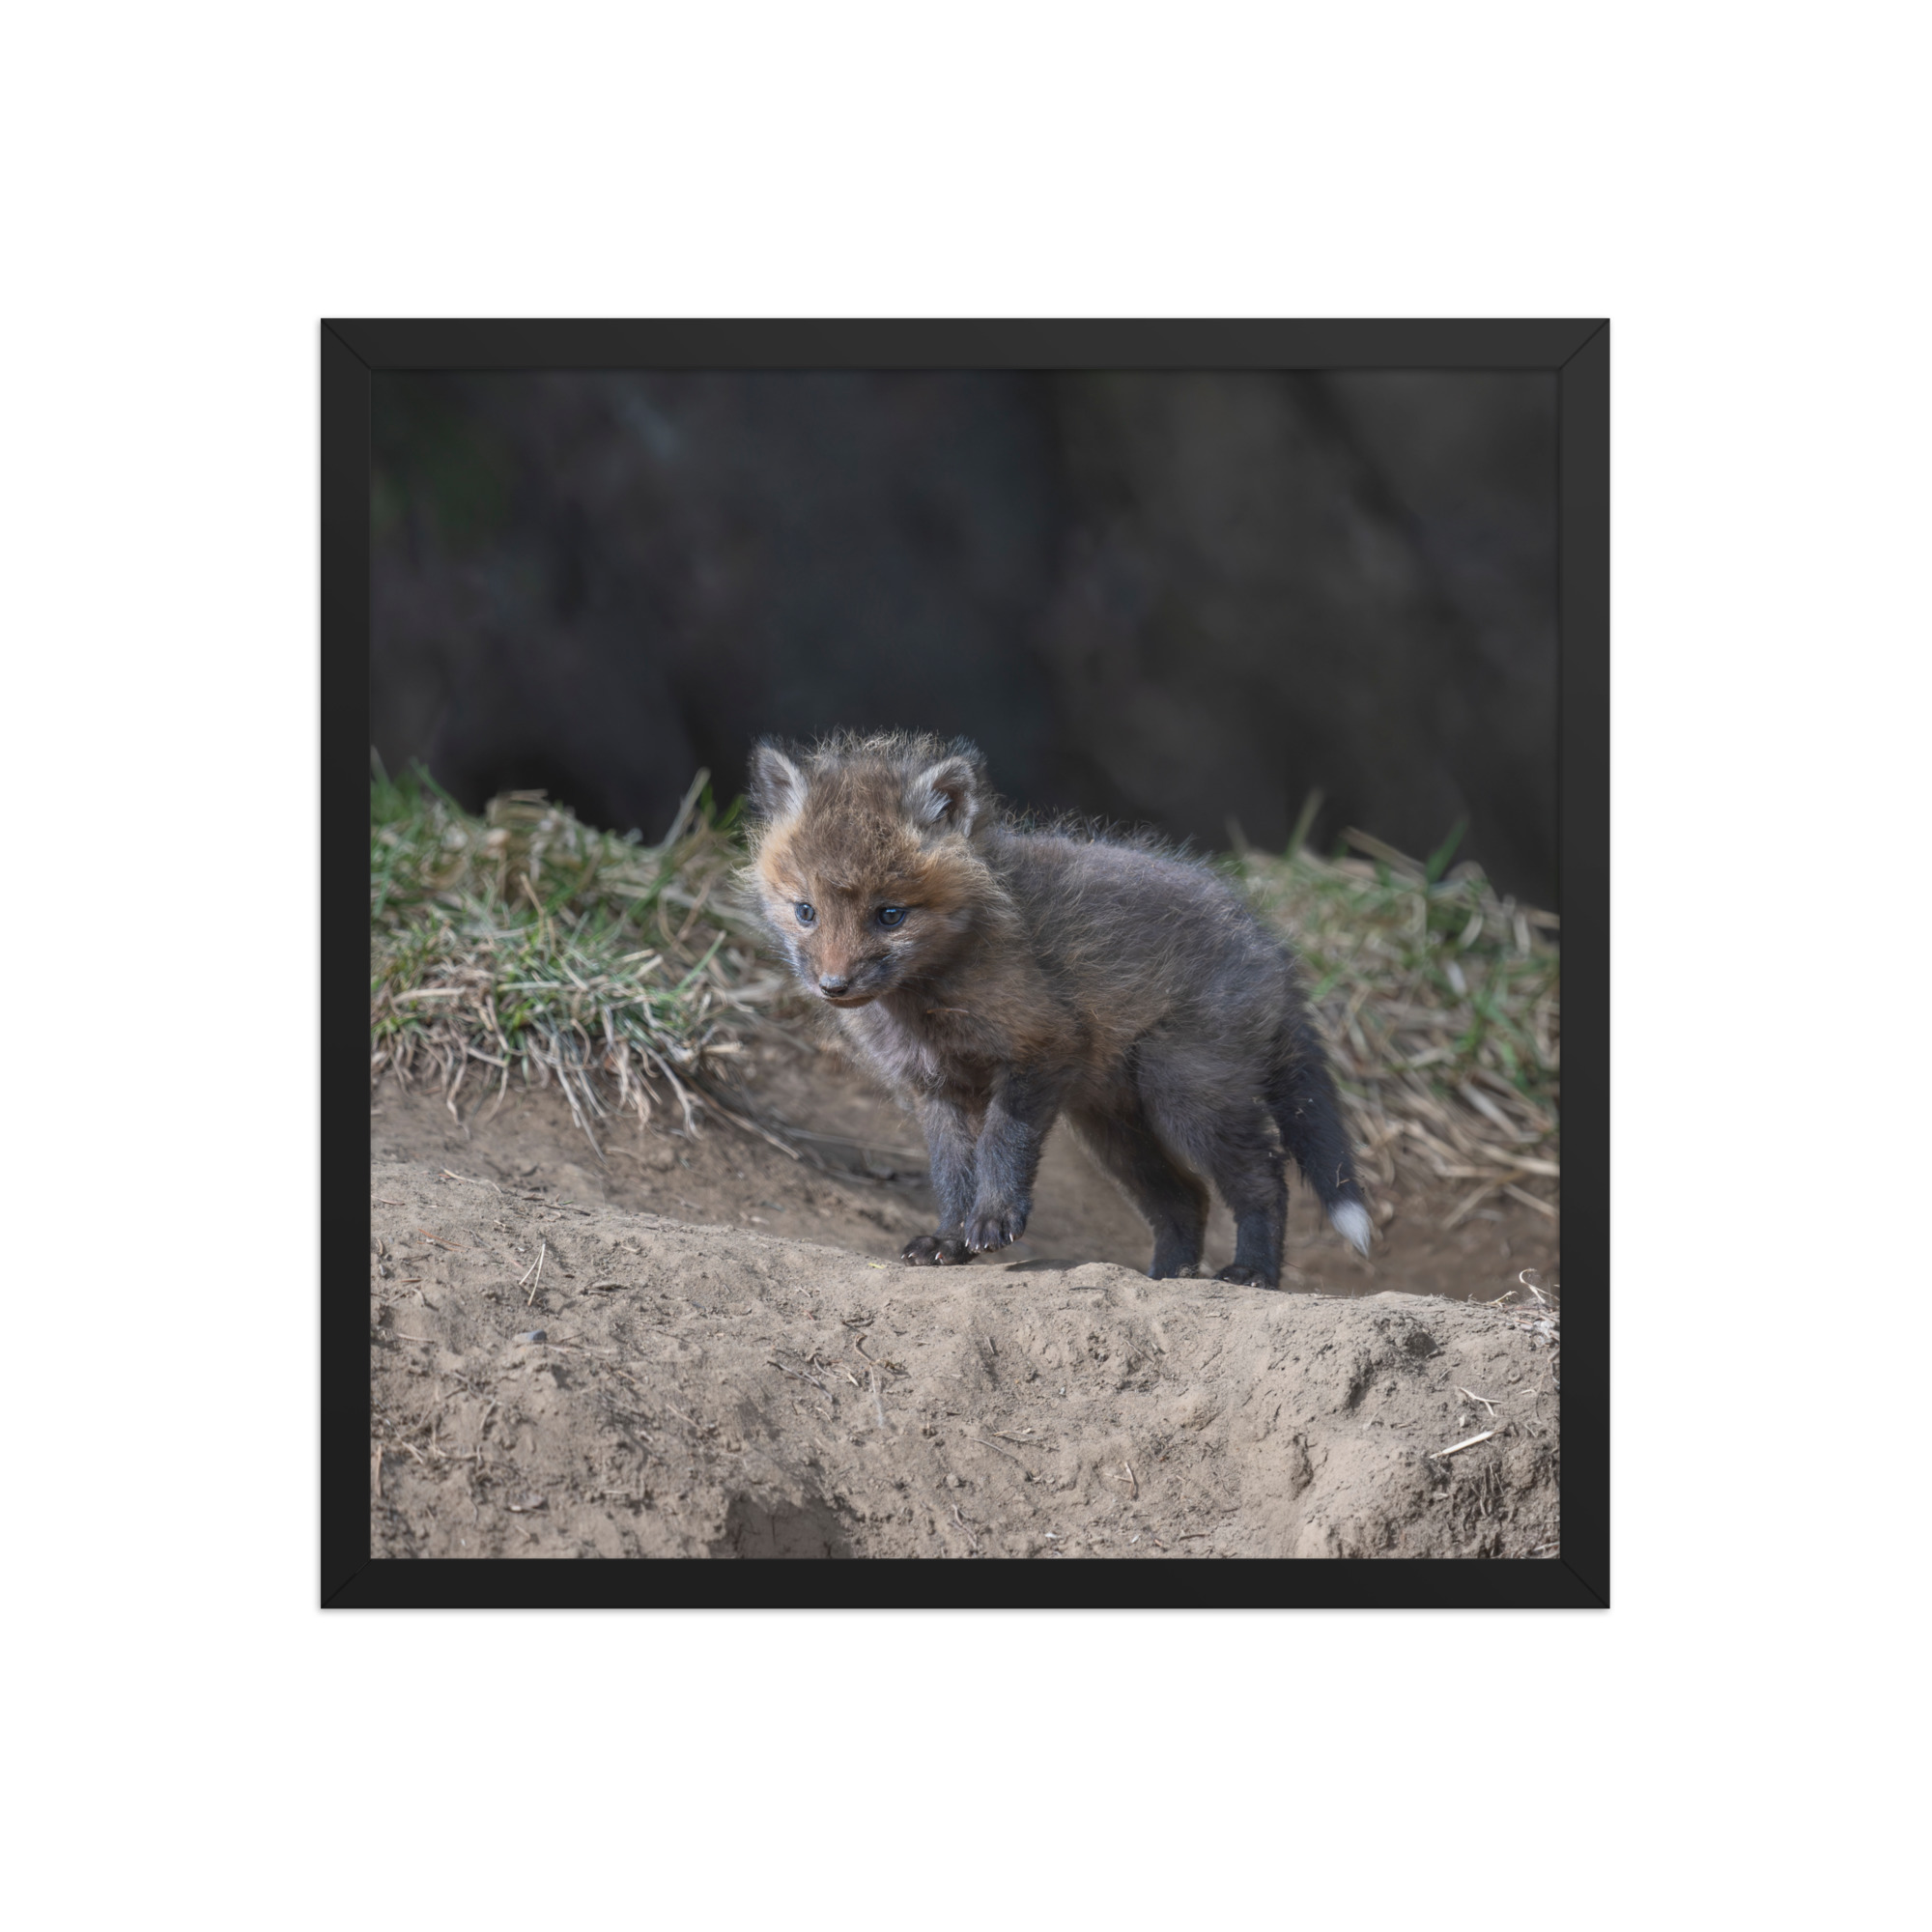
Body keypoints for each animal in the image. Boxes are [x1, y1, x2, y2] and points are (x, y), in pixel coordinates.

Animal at [743, 731, 1372, 1288]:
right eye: (805, 911)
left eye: (890, 915)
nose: (833, 986)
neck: (927, 1003)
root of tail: (1270, 945)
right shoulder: (936, 1088)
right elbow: (951, 1173)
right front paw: (949, 1239)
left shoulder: (1042, 1047)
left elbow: (1002, 1144)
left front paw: (994, 1219)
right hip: (1114, 1127)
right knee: (1186, 1198)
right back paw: (1167, 1277)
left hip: (1186, 1095)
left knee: (1264, 1178)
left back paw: (1253, 1273)